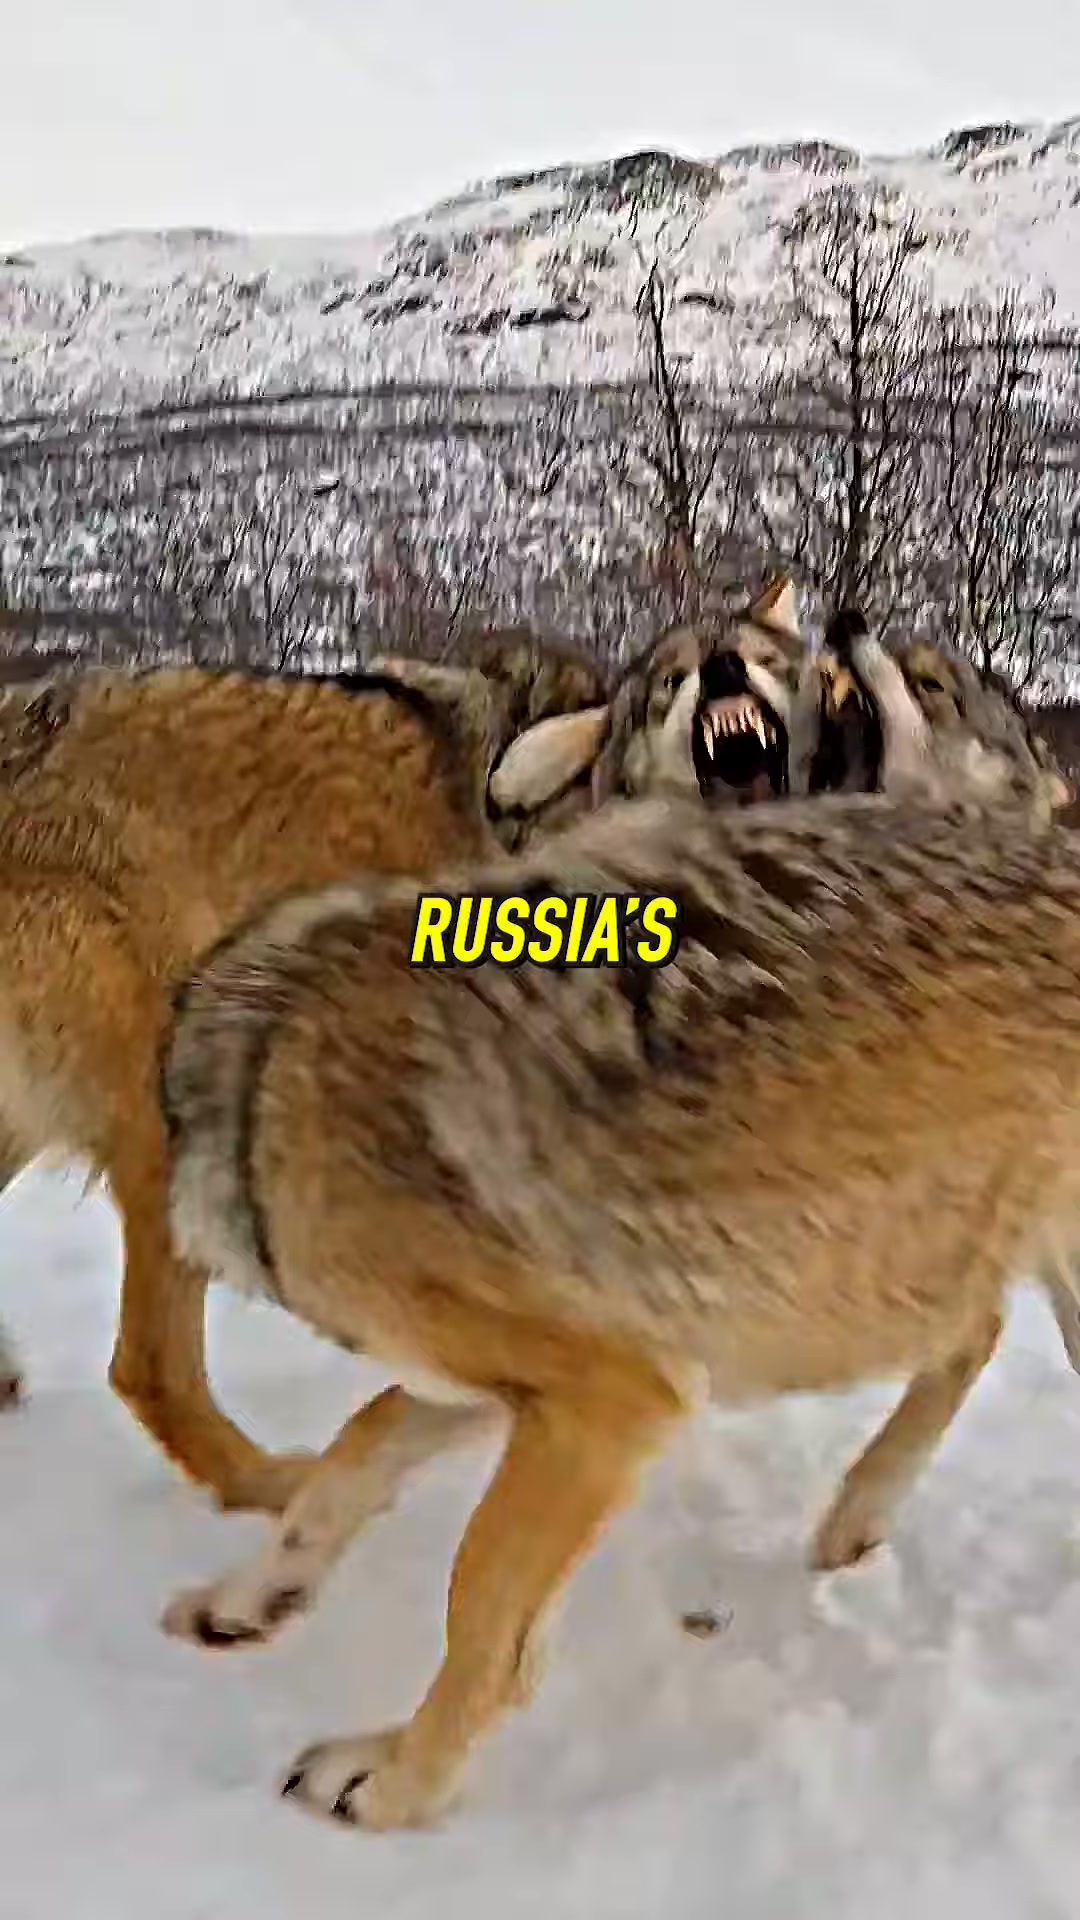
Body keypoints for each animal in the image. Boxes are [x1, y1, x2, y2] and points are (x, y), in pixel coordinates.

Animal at [0, 581, 810, 1507]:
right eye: (672, 681)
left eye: (770, 661)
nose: (724, 666)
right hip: (167, 1100)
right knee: (145, 1368)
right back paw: (272, 1485)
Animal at [157, 632, 1077, 1831]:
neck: (261, 1088)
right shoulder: (523, 1383)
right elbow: (354, 1452)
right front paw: (253, 1595)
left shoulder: (612, 1394)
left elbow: (481, 1612)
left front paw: (399, 1782)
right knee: (970, 1333)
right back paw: (856, 1518)